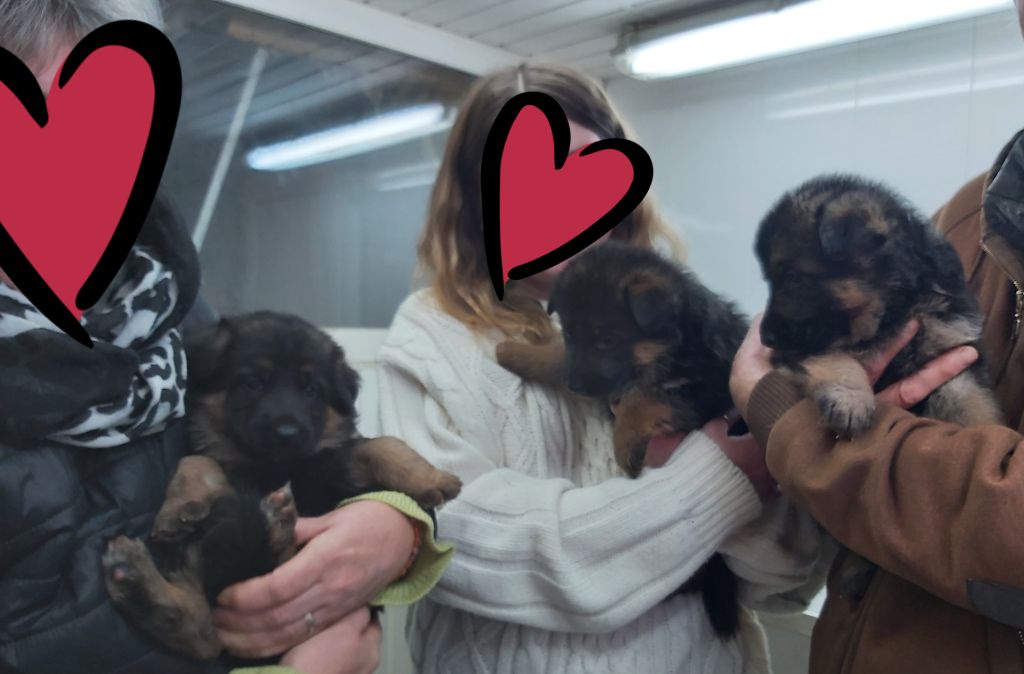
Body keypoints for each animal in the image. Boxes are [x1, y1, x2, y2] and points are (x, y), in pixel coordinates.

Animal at [101, 311, 462, 659]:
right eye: (253, 383)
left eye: (311, 390)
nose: (287, 433)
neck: (274, 466)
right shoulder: (220, 458)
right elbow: (196, 462)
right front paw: (179, 510)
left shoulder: (334, 463)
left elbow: (383, 444)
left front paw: (434, 479)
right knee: (202, 632)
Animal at [497, 239, 749, 635]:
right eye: (571, 333)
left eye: (608, 340)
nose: (575, 386)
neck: (675, 342)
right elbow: (558, 357)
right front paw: (514, 352)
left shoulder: (705, 388)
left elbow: (640, 396)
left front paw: (625, 445)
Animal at [757, 174, 1003, 598]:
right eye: (771, 281)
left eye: (792, 279)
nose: (765, 338)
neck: (894, 308)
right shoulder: (804, 351)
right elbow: (837, 357)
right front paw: (852, 399)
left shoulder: (955, 356)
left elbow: (973, 406)